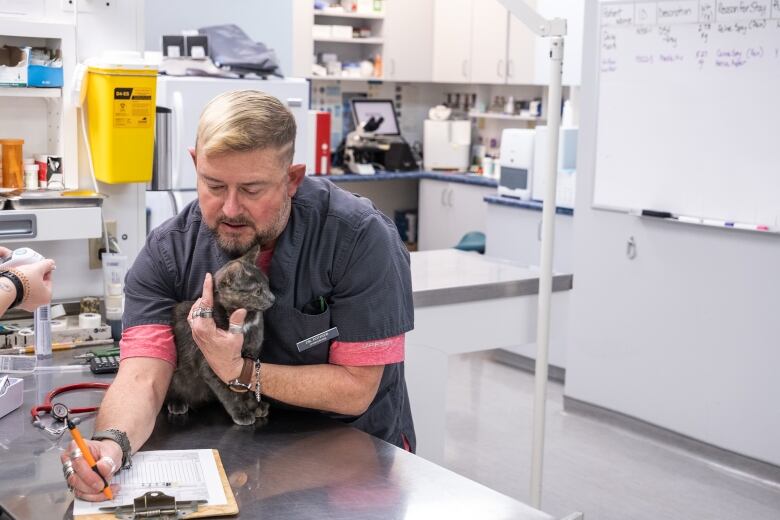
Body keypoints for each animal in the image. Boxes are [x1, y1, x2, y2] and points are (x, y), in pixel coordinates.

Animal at [165, 246, 274, 424]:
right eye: (258, 291)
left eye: (268, 285)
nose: (273, 298)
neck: (245, 321)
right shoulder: (210, 364)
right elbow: (229, 393)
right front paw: (241, 413)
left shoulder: (249, 357)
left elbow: (246, 385)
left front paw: (254, 406)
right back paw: (177, 402)